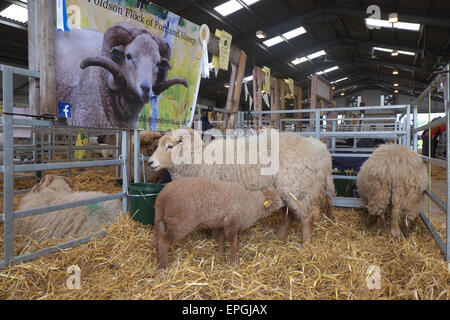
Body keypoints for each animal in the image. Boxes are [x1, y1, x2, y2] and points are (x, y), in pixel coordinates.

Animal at [149, 127, 336, 242]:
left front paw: (216, 238)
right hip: (289, 189)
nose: (150, 162)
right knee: (290, 214)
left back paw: (306, 244)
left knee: (308, 216)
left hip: (296, 188)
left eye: (170, 146)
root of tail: (318, 150)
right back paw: (280, 236)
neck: (198, 160)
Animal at [153, 176, 284, 268]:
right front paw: (234, 261)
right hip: (180, 223)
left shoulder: (221, 223)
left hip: (160, 219)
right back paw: (164, 266)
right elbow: (232, 241)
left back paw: (159, 260)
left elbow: (221, 239)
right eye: (278, 200)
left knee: (158, 240)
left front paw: (220, 256)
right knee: (164, 241)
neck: (252, 203)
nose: (285, 204)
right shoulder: (232, 222)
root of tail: (163, 195)